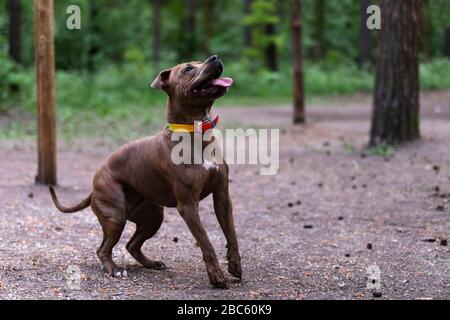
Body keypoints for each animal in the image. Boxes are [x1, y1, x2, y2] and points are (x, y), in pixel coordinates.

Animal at [49, 55, 243, 290]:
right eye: (188, 68)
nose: (215, 57)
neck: (195, 132)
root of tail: (94, 184)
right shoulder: (188, 205)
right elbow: (205, 241)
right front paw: (216, 275)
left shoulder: (222, 197)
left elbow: (231, 234)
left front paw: (235, 265)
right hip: (116, 216)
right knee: (103, 248)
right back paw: (114, 270)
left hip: (153, 217)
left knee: (132, 245)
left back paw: (150, 263)